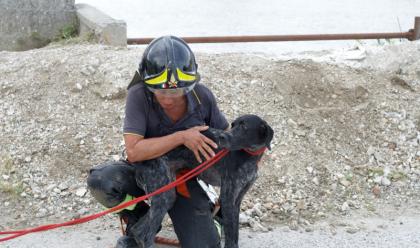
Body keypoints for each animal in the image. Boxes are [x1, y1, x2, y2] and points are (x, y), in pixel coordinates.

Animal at [130, 115, 274, 248]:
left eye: (244, 126)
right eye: (233, 125)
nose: (221, 136)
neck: (249, 157)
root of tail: (138, 164)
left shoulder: (237, 200)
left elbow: (235, 232)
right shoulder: (227, 199)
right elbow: (230, 233)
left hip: (164, 196)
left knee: (137, 230)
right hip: (163, 196)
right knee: (145, 235)